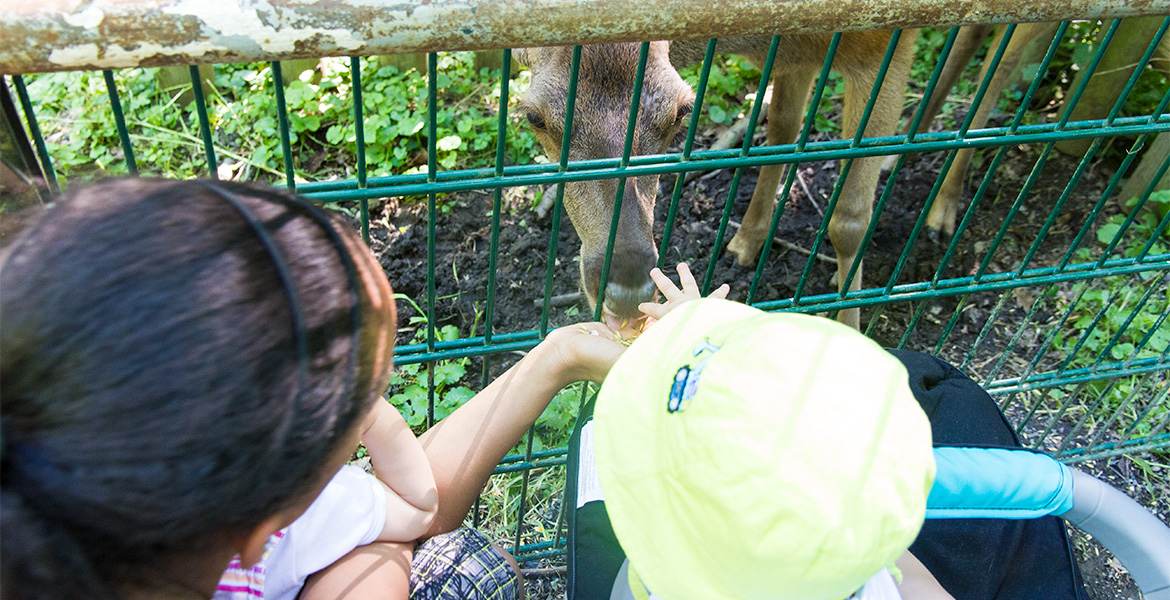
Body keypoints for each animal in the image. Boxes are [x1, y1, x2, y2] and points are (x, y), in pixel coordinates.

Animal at [517, 30, 917, 329]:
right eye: (534, 117)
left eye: (682, 110)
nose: (627, 291)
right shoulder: (793, 59)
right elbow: (784, 130)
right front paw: (748, 239)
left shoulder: (884, 46)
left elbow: (849, 221)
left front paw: (852, 329)